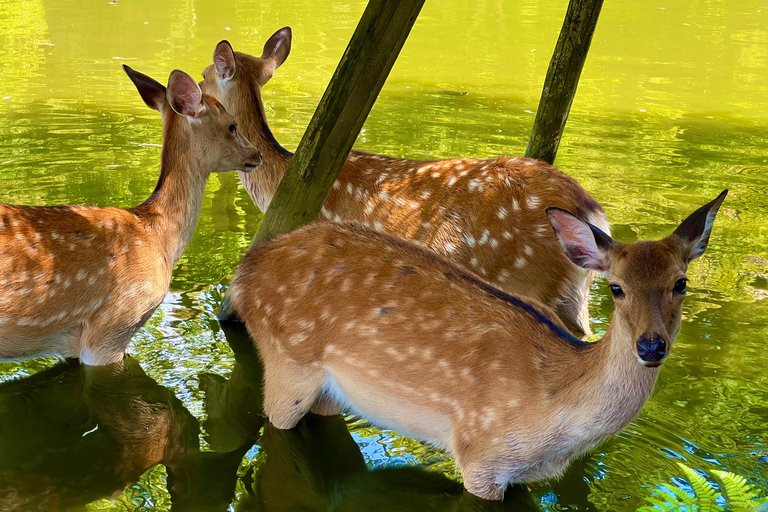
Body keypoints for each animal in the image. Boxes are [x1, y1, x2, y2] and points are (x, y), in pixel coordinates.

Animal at [226, 191, 728, 500]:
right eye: (616, 288)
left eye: (680, 283)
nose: (651, 346)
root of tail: (244, 273)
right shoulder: (481, 455)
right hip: (287, 361)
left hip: (332, 391)